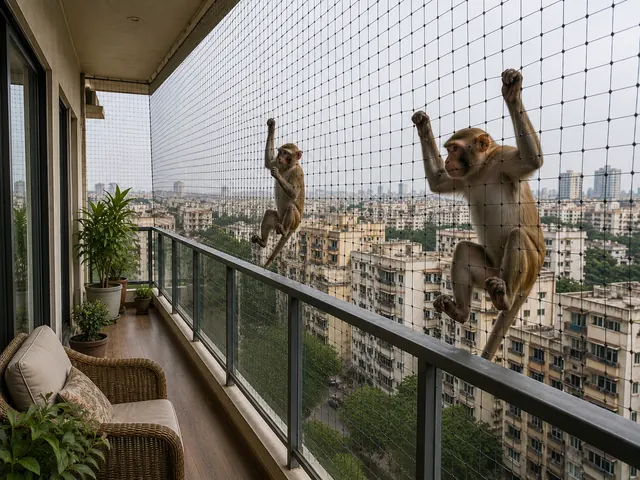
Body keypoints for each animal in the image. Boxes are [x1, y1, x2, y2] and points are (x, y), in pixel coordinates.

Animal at [251, 118, 305, 268]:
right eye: (280, 152)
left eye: (286, 153)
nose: (280, 157)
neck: (287, 167)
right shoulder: (278, 164)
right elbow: (269, 162)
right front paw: (271, 126)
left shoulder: (298, 172)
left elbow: (294, 194)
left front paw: (277, 175)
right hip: (278, 219)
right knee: (269, 213)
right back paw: (263, 242)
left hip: (294, 221)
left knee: (291, 208)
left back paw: (284, 232)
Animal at [412, 68, 545, 361]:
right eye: (448, 150)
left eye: (455, 149)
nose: (448, 159)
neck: (481, 170)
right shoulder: (463, 178)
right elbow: (438, 182)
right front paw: (423, 124)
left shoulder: (504, 159)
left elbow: (532, 160)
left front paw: (512, 93)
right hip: (489, 271)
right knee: (463, 249)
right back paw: (461, 311)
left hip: (524, 270)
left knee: (517, 237)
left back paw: (504, 299)